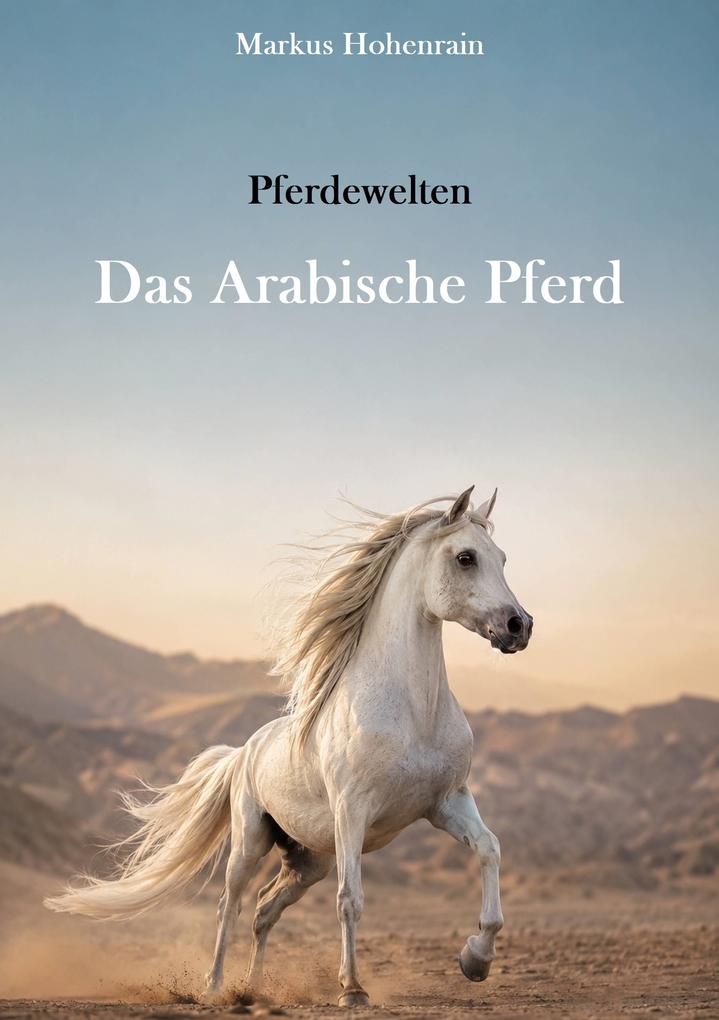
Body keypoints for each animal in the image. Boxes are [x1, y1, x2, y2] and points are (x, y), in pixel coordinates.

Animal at [45, 486, 533, 1006]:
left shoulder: (447, 803)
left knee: (264, 909)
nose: (518, 626)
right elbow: (350, 899)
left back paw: (253, 988)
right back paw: (214, 987)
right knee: (230, 905)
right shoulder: (353, 811)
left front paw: (476, 959)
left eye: (503, 558)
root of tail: (243, 753)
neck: (413, 714)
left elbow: (489, 849)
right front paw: (352, 989)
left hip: (308, 859)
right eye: (466, 557)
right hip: (251, 843)